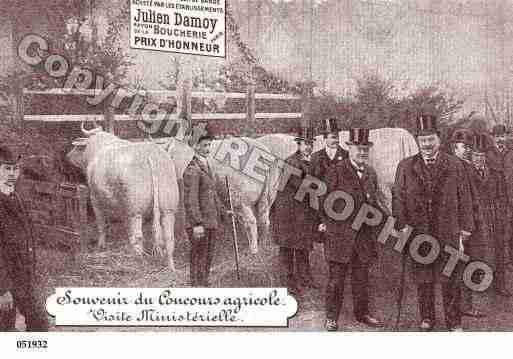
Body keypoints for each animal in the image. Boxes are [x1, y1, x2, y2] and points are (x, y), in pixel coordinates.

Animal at [66, 124, 180, 270]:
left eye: (77, 147)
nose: (67, 156)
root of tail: (150, 155)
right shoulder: (125, 207)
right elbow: (127, 227)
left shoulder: (95, 198)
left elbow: (101, 223)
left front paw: (101, 245)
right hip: (168, 208)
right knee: (168, 237)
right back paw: (171, 267)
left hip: (136, 211)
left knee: (138, 237)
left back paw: (138, 261)